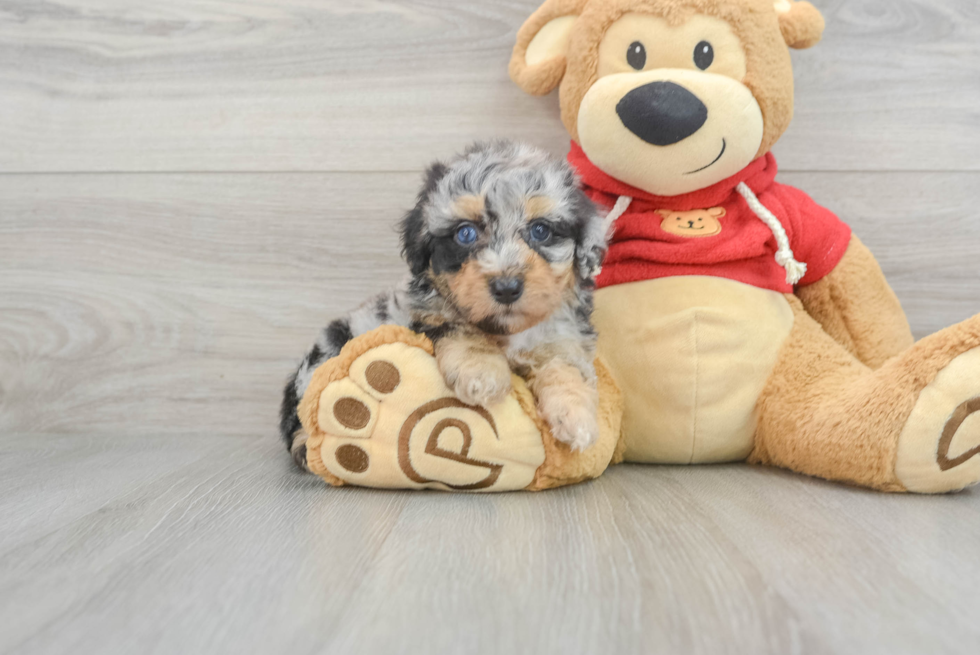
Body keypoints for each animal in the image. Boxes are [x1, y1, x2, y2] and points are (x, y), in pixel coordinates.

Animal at [280, 142, 608, 472]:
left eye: (540, 230)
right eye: (465, 233)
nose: (506, 287)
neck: (507, 330)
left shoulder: (561, 336)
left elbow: (566, 367)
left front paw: (576, 416)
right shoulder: (427, 314)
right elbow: (462, 330)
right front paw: (483, 374)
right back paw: (306, 445)